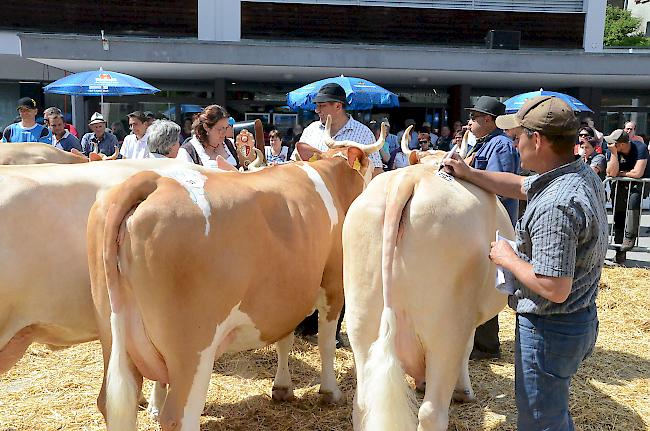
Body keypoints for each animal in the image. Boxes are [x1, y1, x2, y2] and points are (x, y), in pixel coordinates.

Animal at [88, 116, 388, 430]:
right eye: (370, 166)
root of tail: (153, 182)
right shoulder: (332, 284)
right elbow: (326, 342)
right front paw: (330, 392)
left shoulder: (287, 293)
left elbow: (284, 340)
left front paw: (282, 388)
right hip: (192, 347)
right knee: (179, 415)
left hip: (113, 335)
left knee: (113, 401)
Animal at [342, 163, 512, 431]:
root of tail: (408, 177)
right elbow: (468, 348)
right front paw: (463, 391)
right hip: (447, 327)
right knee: (432, 411)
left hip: (361, 319)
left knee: (362, 404)